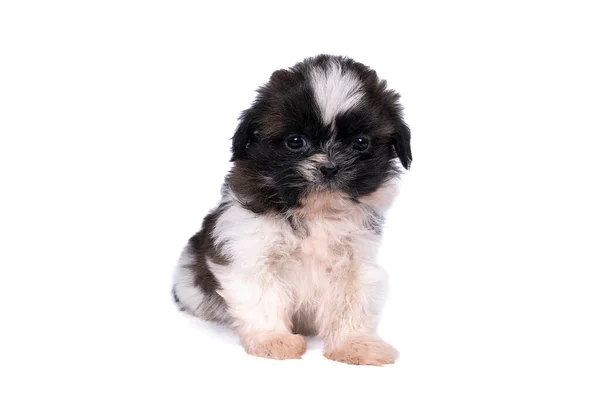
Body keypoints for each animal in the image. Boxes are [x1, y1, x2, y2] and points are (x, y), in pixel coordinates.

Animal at [171, 54, 410, 368]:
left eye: (361, 143)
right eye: (295, 142)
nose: (329, 167)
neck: (316, 212)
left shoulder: (355, 260)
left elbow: (352, 300)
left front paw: (355, 343)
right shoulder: (250, 248)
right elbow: (262, 296)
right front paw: (272, 339)